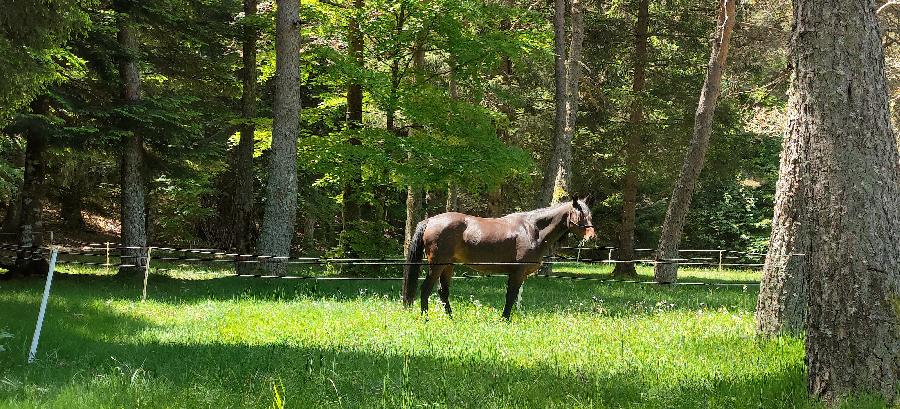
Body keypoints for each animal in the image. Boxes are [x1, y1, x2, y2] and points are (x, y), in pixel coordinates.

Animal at [402, 197, 595, 319]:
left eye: (590, 215)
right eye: (580, 215)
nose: (591, 237)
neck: (531, 229)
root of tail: (430, 220)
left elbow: (514, 296)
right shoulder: (517, 273)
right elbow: (510, 296)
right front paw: (505, 319)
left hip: (448, 266)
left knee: (443, 292)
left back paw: (451, 318)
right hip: (437, 265)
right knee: (426, 289)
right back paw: (426, 317)